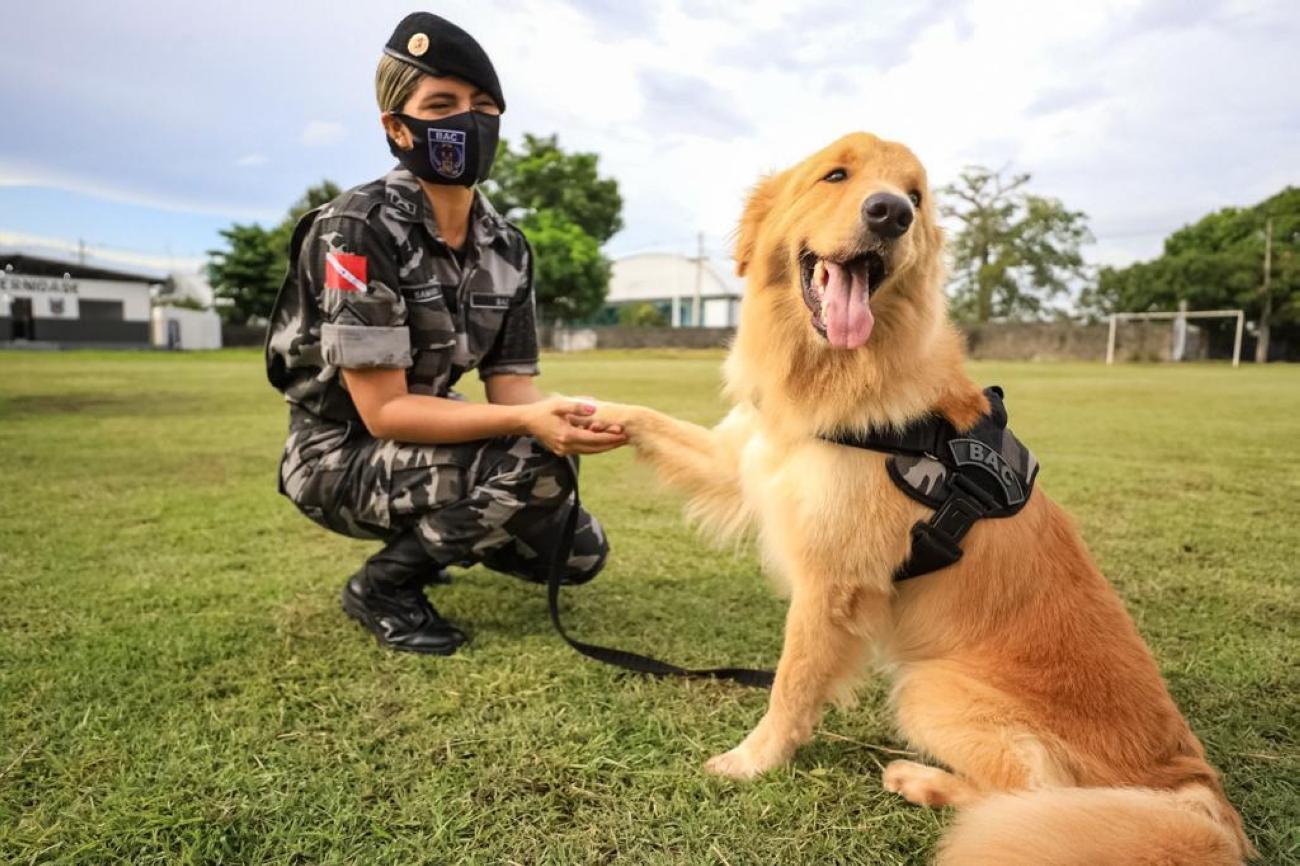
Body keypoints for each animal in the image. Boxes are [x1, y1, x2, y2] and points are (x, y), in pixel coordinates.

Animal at [595, 131, 1253, 858]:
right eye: (835, 175)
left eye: (915, 196)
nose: (891, 214)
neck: (839, 376)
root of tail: (1193, 789)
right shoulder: (744, 459)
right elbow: (653, 421)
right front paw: (579, 412)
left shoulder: (831, 584)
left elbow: (791, 685)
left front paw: (751, 760)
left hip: (928, 686)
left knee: (1029, 796)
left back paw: (920, 779)